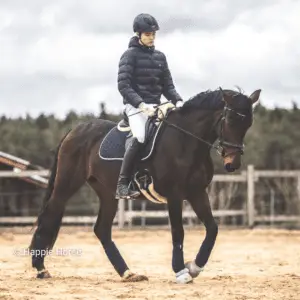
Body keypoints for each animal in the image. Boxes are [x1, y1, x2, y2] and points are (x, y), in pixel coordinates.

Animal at [29, 86, 262, 284]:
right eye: (229, 119)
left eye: (249, 124)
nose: (232, 164)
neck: (186, 141)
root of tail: (74, 131)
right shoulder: (175, 195)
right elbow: (178, 231)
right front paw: (181, 271)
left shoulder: (197, 193)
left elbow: (212, 229)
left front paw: (194, 267)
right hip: (67, 184)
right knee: (50, 214)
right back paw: (40, 268)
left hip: (107, 193)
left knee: (102, 229)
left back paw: (128, 273)